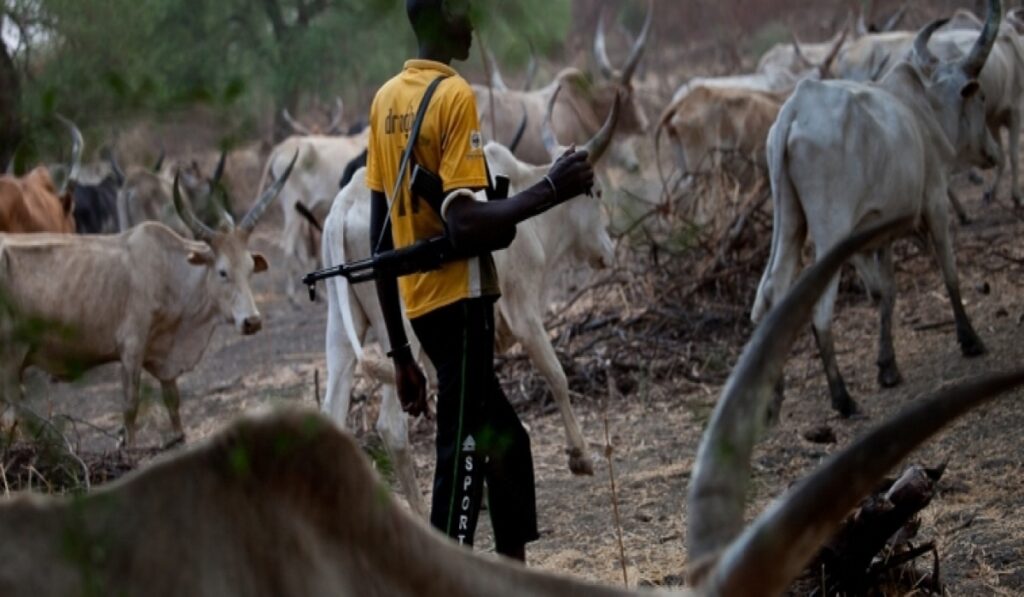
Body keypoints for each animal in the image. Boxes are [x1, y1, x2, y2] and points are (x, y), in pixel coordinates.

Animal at [0, 154, 297, 447]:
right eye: (223, 272)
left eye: (250, 268)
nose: (252, 321)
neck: (169, 271)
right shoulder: (131, 347)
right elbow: (130, 407)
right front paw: (129, 448)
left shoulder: (164, 355)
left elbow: (172, 400)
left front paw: (178, 436)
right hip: (10, 362)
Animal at [752, 1, 1002, 418]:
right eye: (980, 99)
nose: (992, 153)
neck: (922, 111)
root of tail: (796, 108)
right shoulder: (935, 201)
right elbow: (949, 270)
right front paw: (970, 339)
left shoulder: (879, 234)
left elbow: (887, 291)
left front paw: (888, 367)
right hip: (830, 231)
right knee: (819, 309)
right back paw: (842, 398)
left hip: (790, 224)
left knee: (771, 292)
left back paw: (771, 399)